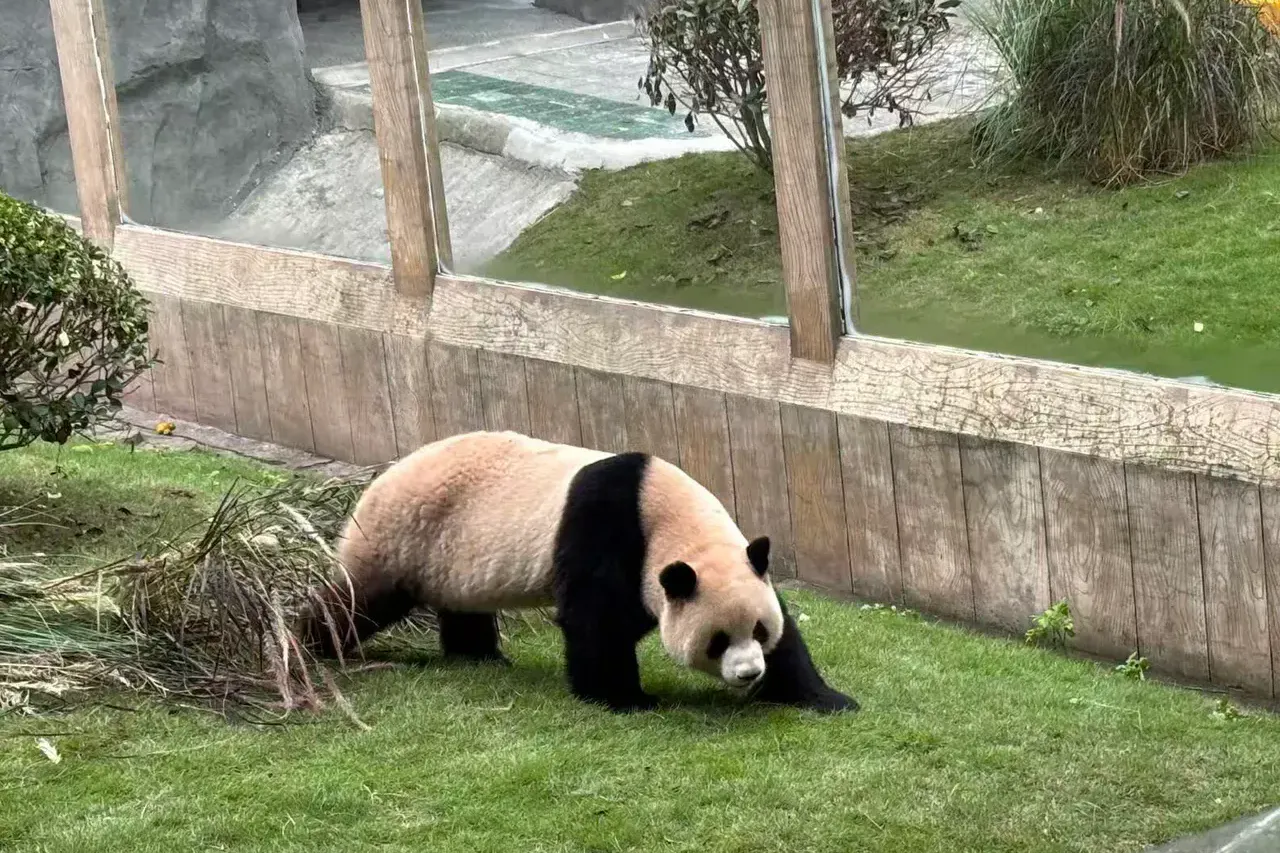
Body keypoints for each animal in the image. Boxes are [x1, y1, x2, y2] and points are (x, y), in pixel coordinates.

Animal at [299, 430, 858, 714]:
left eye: (757, 631)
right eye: (718, 641)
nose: (748, 674)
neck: (668, 516)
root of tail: (379, 480)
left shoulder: (738, 560)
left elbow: (789, 634)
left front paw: (824, 697)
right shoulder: (605, 526)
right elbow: (596, 619)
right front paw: (627, 699)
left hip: (453, 553)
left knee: (462, 604)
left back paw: (479, 656)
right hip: (403, 536)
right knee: (357, 601)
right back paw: (310, 647)